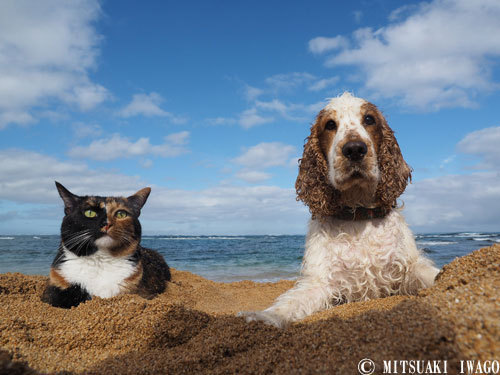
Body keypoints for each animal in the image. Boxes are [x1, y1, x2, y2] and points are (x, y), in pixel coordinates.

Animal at [240, 92, 440, 328]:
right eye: (330, 125)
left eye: (369, 119)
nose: (354, 149)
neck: (358, 216)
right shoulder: (321, 280)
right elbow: (290, 303)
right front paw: (264, 317)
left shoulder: (408, 267)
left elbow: (432, 275)